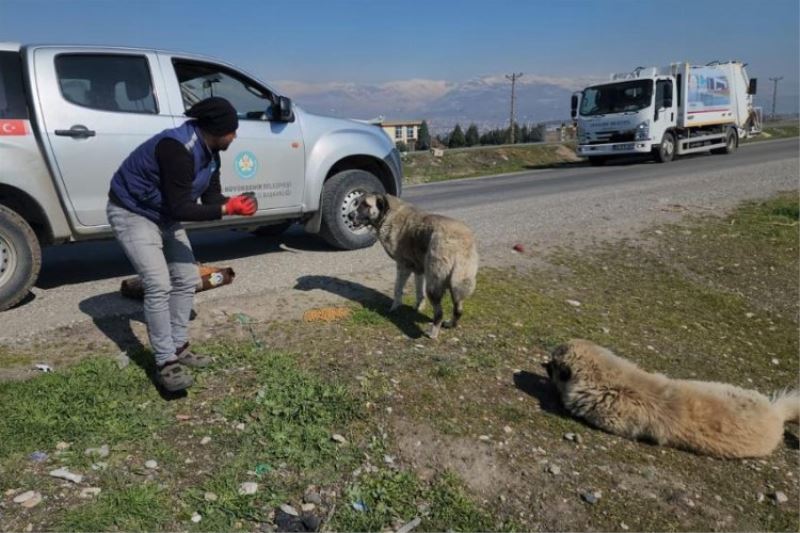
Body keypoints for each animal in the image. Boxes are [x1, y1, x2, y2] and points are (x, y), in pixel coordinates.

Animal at [348, 194, 476, 336]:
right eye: (356, 203)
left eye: (366, 205)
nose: (349, 215)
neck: (388, 215)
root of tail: (459, 241)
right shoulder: (419, 270)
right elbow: (419, 292)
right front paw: (418, 308)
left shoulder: (403, 266)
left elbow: (398, 289)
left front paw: (394, 308)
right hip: (458, 282)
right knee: (458, 309)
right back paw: (450, 324)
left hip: (434, 284)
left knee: (439, 313)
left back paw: (433, 333)